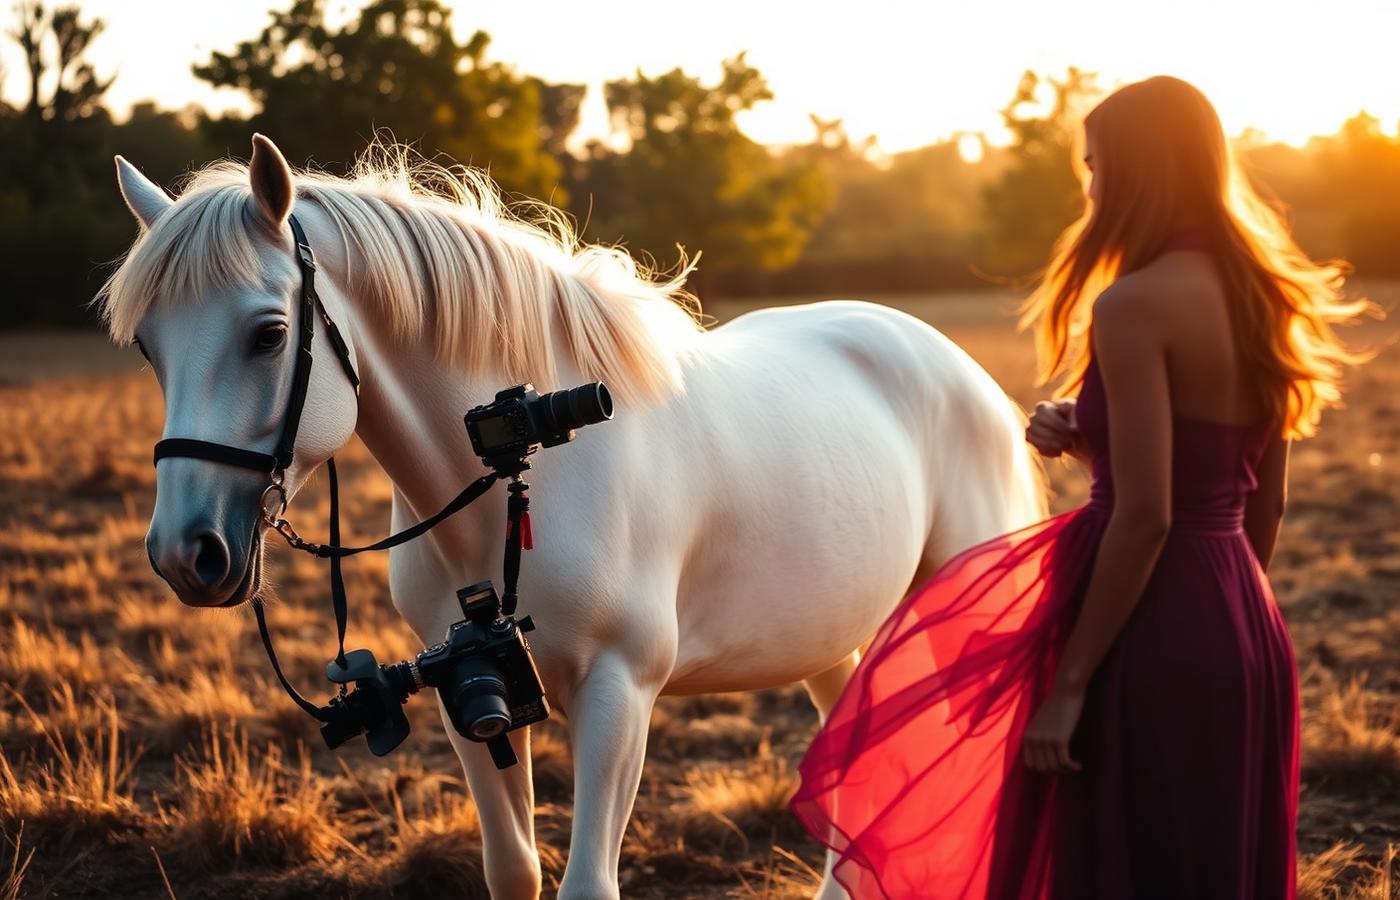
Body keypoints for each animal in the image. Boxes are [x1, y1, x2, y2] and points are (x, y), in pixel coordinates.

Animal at [101, 134, 1046, 900]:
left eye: (267, 334)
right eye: (147, 347)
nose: (187, 552)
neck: (519, 487)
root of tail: (955, 365)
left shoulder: (620, 689)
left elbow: (588, 884)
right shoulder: (464, 689)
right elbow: (513, 871)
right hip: (833, 637)